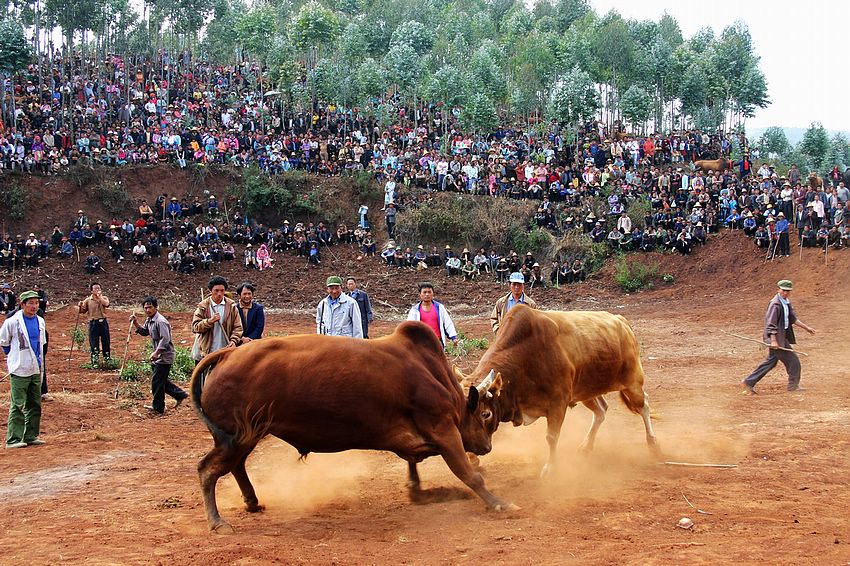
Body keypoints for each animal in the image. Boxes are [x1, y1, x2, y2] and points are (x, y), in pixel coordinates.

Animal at [190, 322, 512, 536]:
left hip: (246, 436)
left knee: (236, 465)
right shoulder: (444, 429)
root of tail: (227, 354)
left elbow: (415, 471)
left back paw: (252, 502)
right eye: (485, 415)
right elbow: (469, 475)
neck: (434, 374)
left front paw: (427, 491)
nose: (487, 447)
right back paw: (217, 522)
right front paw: (499, 503)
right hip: (235, 438)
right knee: (207, 470)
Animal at [458, 308, 656, 478]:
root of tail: (621, 321)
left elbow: (551, 438)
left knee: (644, 406)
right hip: (586, 392)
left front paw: (551, 468)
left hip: (632, 383)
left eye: (486, 414)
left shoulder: (558, 403)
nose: (472, 451)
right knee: (601, 411)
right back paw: (586, 446)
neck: (525, 358)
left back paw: (653, 442)